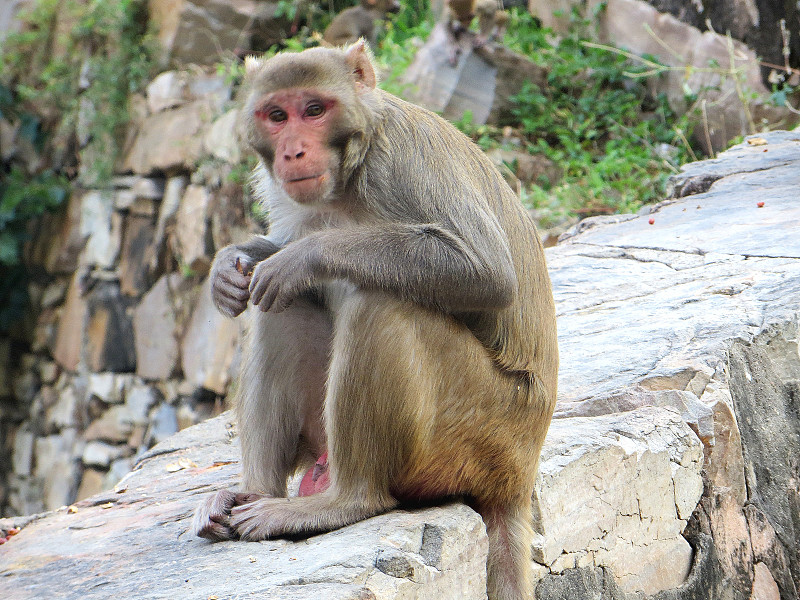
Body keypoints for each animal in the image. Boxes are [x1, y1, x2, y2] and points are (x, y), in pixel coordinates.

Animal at [192, 42, 556, 600]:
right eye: (277, 116)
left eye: (314, 110)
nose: (293, 152)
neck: (349, 173)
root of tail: (521, 476)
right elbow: (268, 272)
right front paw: (231, 267)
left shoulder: (401, 164)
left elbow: (487, 272)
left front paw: (303, 256)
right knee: (282, 305)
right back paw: (249, 494)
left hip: (481, 434)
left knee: (381, 303)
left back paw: (346, 502)